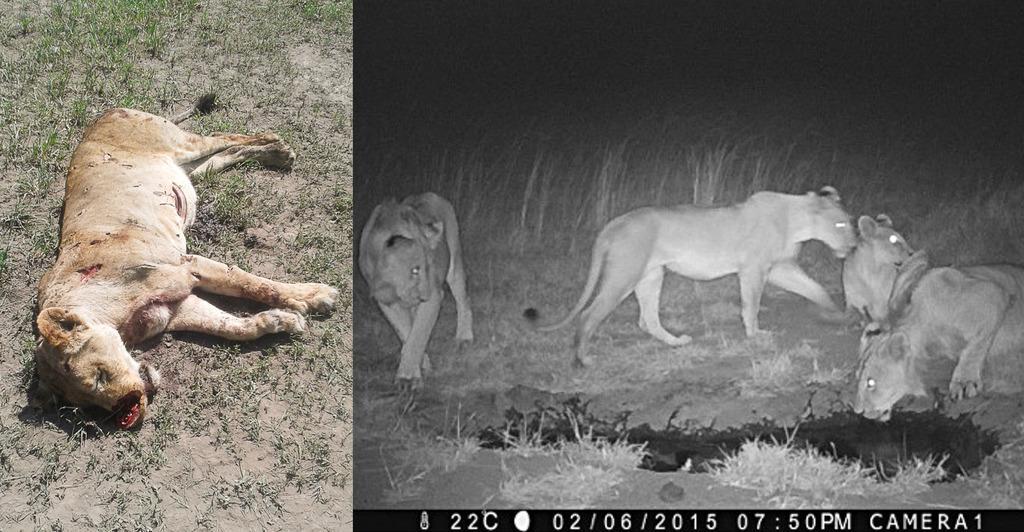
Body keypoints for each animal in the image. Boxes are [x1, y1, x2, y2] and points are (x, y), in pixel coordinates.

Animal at [34, 102, 338, 429]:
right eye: (90, 406)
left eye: (99, 378)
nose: (126, 414)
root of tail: (106, 112)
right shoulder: (176, 309)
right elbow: (229, 327)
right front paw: (279, 321)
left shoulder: (186, 267)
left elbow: (254, 284)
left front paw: (315, 296)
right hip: (191, 171)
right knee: (225, 155)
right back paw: (274, 154)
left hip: (181, 145)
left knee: (223, 136)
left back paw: (277, 146)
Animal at [358, 192, 473, 386]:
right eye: (415, 270)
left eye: (429, 266)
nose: (425, 294)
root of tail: (429, 194)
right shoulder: (385, 301)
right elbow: (406, 332)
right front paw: (420, 365)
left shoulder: (434, 299)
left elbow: (418, 334)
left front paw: (408, 378)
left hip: (455, 262)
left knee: (463, 300)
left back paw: (465, 338)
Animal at [525, 187, 857, 367]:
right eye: (840, 224)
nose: (854, 246)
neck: (797, 221)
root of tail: (614, 223)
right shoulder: (754, 268)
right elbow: (751, 304)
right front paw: (755, 335)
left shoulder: (779, 268)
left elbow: (814, 288)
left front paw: (835, 313)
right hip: (624, 274)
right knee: (590, 315)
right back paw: (584, 359)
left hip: (651, 276)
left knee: (647, 319)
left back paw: (676, 343)